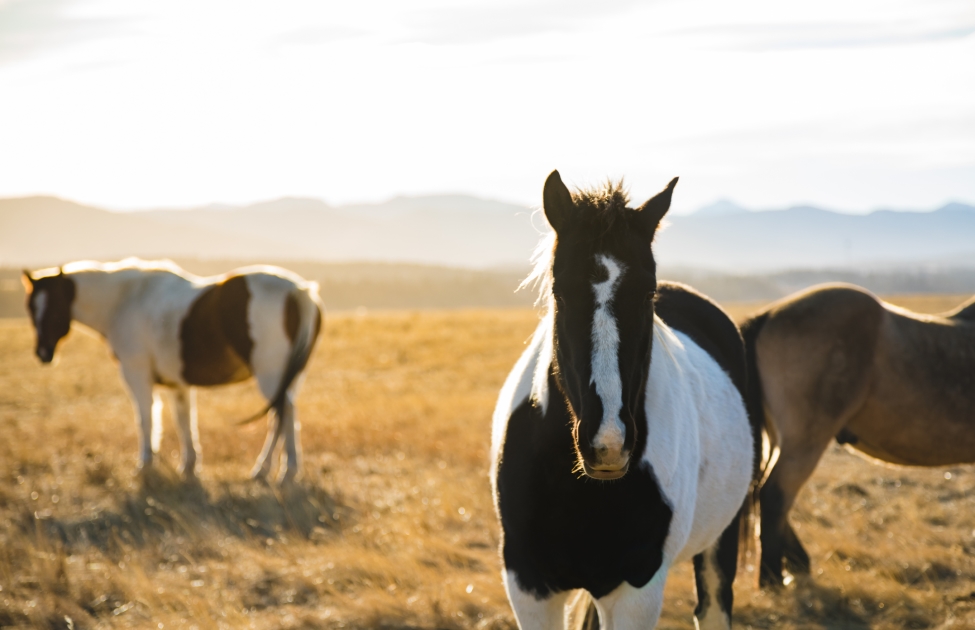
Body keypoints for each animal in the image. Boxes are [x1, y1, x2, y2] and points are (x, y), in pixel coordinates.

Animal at [21, 258, 324, 484]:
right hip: (290, 376)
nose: (43, 353)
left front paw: (145, 465)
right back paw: (265, 470)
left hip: (271, 373)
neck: (125, 300)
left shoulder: (136, 373)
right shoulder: (178, 383)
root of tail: (299, 291)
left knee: (283, 413)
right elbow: (184, 420)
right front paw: (189, 466)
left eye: (53, 308)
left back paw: (285, 472)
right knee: (281, 416)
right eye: (31, 308)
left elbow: (146, 419)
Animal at [492, 173, 760, 630]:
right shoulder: (528, 585)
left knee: (713, 605)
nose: (608, 444)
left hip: (720, 539)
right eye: (558, 290)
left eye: (648, 292)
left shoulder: (637, 589)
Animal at [744, 284, 975, 592]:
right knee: (774, 495)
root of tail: (768, 314)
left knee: (761, 491)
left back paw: (796, 564)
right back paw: (772, 578)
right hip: (804, 441)